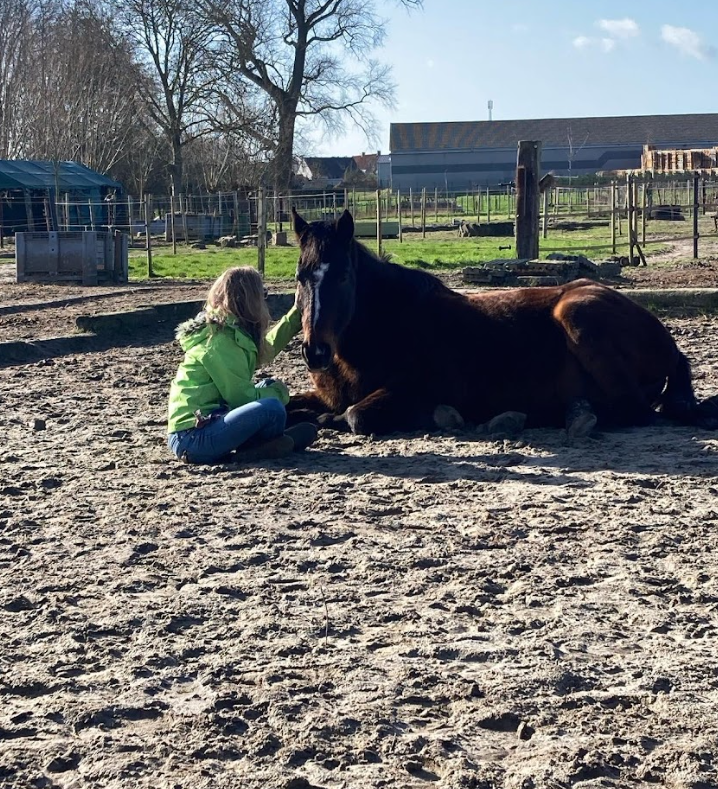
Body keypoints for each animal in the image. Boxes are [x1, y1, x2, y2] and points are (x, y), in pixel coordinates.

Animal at [286, 206, 718, 434]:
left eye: (343, 276)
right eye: (300, 276)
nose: (315, 353)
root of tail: (670, 345)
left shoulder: (415, 391)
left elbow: (354, 415)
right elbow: (295, 402)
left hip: (577, 313)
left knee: (633, 411)